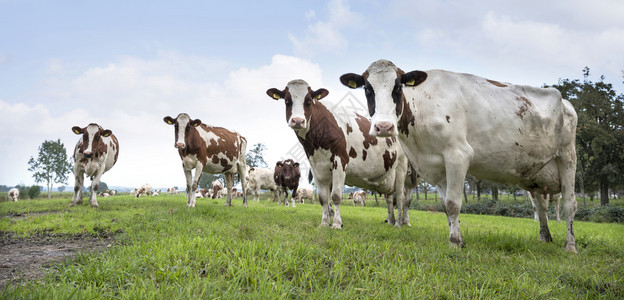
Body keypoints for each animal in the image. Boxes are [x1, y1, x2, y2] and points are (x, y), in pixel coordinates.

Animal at [266, 79, 410, 227]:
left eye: (308, 101)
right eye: (287, 101)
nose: (298, 121)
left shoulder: (340, 161)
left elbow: (335, 195)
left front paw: (336, 223)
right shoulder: (317, 167)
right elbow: (323, 198)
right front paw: (324, 223)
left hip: (401, 168)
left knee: (400, 197)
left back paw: (399, 223)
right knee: (390, 198)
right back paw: (391, 221)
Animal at [342, 58, 580, 251]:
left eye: (398, 87)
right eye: (368, 89)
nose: (383, 127)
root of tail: (565, 102)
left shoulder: (458, 155)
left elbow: (454, 203)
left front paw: (455, 243)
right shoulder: (436, 166)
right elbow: (445, 205)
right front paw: (456, 237)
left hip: (568, 156)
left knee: (570, 204)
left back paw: (570, 246)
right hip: (536, 174)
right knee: (541, 206)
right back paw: (545, 237)